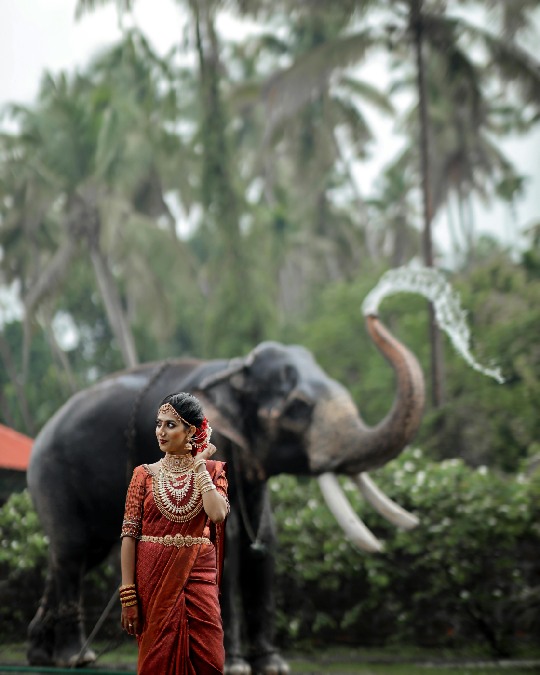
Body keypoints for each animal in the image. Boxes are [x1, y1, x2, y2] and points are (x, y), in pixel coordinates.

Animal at [26, 318, 426, 675]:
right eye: (298, 408)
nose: (372, 314)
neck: (235, 371)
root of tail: (42, 432)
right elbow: (227, 541)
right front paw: (235, 666)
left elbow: (263, 540)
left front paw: (273, 665)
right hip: (53, 477)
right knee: (72, 553)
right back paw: (76, 658)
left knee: (78, 556)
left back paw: (41, 654)